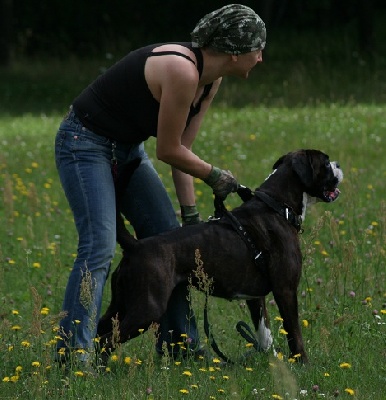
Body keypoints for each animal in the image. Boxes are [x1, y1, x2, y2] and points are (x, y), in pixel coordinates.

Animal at [97, 149, 344, 362]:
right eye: (325, 163)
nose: (338, 164)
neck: (276, 206)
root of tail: (136, 246)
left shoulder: (256, 298)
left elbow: (264, 333)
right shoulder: (285, 290)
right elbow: (294, 332)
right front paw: (302, 364)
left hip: (121, 303)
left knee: (98, 332)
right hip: (147, 309)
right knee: (108, 340)